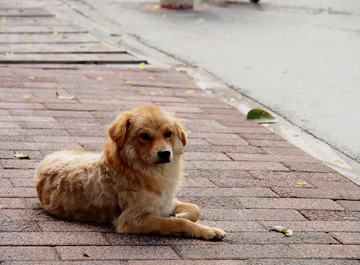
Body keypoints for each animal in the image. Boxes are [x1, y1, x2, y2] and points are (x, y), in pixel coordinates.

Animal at [33, 104, 225, 239]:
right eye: (144, 136)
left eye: (168, 133)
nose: (165, 153)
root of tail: (47, 157)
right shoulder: (133, 220)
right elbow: (180, 223)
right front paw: (206, 230)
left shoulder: (165, 201)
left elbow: (194, 208)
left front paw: (184, 215)